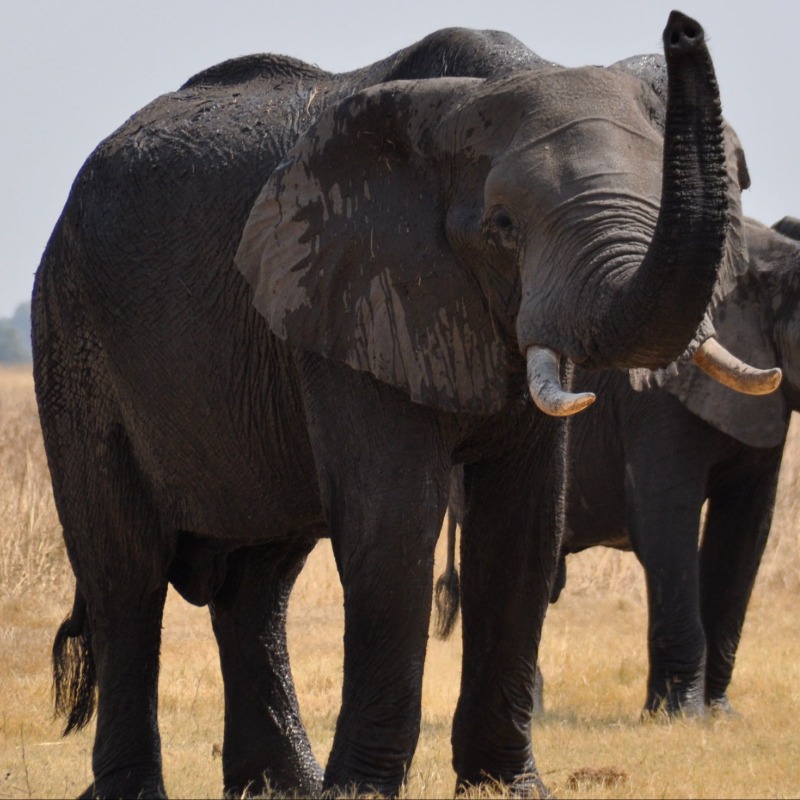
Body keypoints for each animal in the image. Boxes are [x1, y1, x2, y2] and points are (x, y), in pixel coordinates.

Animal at [33, 12, 754, 799]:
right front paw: (362, 794)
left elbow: (524, 522)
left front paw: (508, 789)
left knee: (258, 585)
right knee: (125, 573)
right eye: (503, 227)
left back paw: (284, 787)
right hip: (73, 337)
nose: (682, 29)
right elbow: (395, 517)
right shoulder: (351, 290)